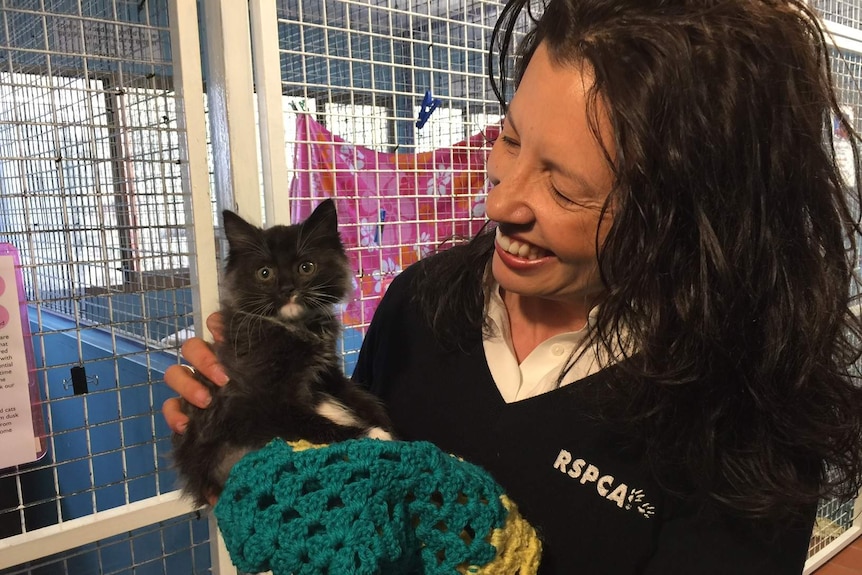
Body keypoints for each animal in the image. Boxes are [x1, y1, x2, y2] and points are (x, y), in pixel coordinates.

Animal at [171, 200, 392, 506]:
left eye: (306, 267)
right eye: (265, 273)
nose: (288, 288)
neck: (294, 328)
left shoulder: (328, 373)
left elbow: (359, 396)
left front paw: (382, 422)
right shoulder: (261, 403)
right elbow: (313, 423)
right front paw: (371, 433)